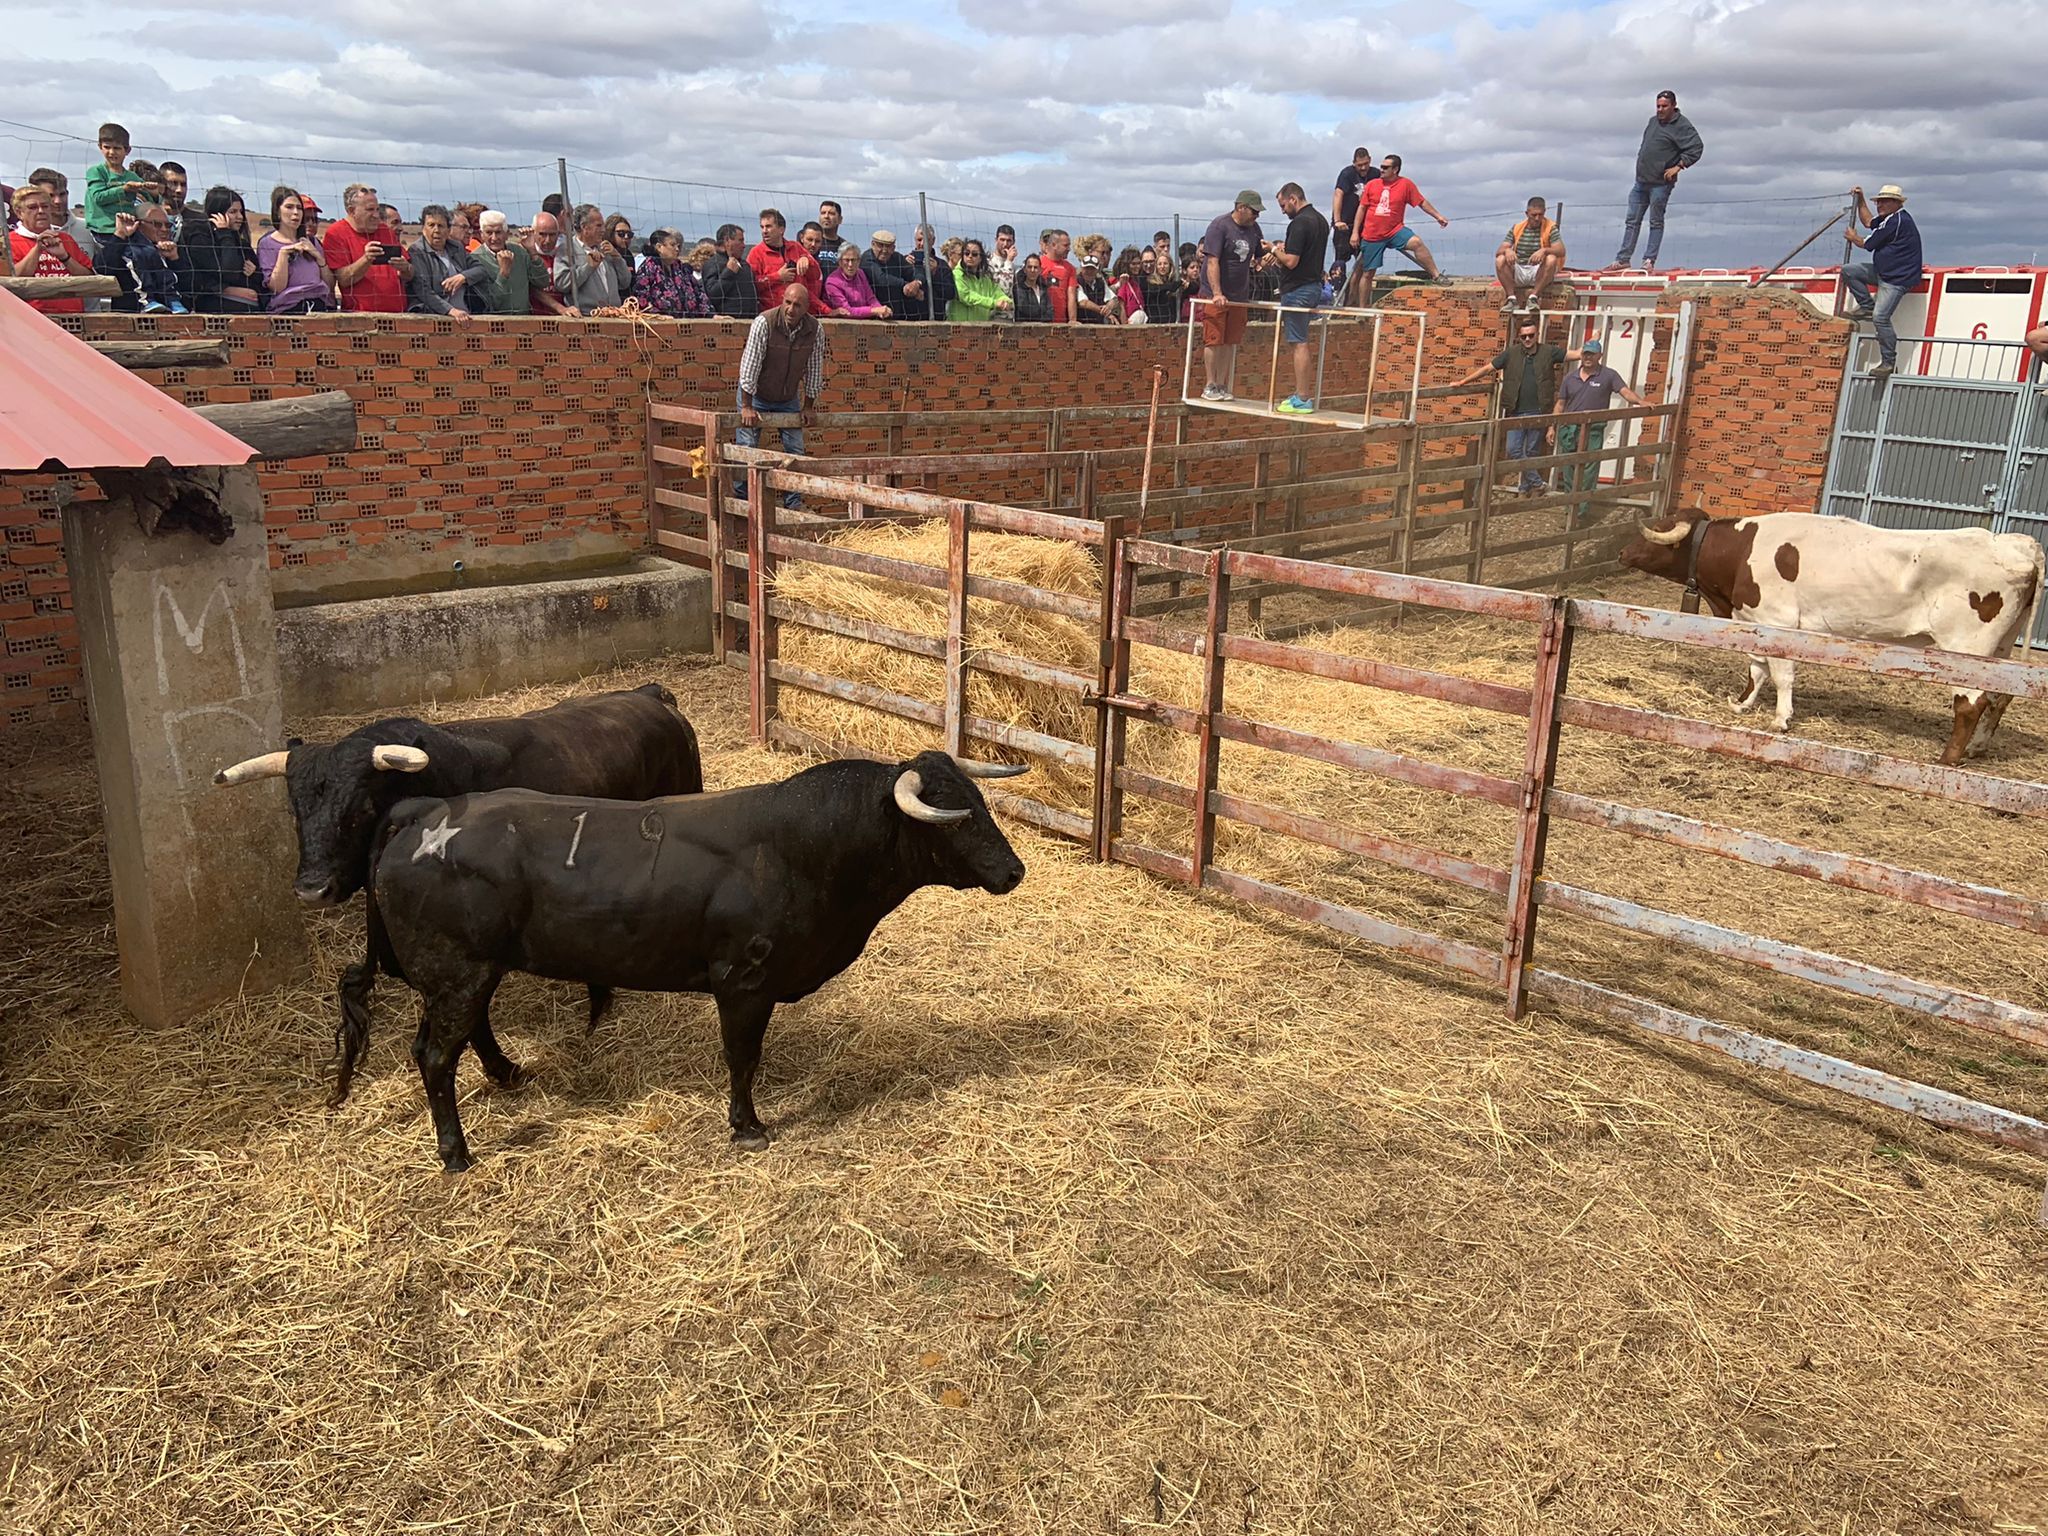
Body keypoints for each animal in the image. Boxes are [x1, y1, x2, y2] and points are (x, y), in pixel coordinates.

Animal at [364, 753, 1024, 1171]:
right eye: (952, 817)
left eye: (981, 801)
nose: (1014, 871)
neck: (802, 850)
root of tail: (423, 814)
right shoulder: (743, 983)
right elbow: (742, 1057)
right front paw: (748, 1127)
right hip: (458, 972)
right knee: (435, 1055)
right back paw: (455, 1153)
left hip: (466, 974)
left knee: (459, 1034)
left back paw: (507, 1074)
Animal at [1622, 512, 2039, 765]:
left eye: (1661, 525)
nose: (1624, 551)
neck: (1743, 551)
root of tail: (2015, 544)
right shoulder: (1756, 622)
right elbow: (1757, 671)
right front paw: (1742, 705)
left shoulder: (1779, 622)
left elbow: (1781, 675)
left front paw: (1781, 719)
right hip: (2001, 651)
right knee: (1999, 698)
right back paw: (1979, 746)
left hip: (1967, 651)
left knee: (1971, 703)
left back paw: (1948, 758)